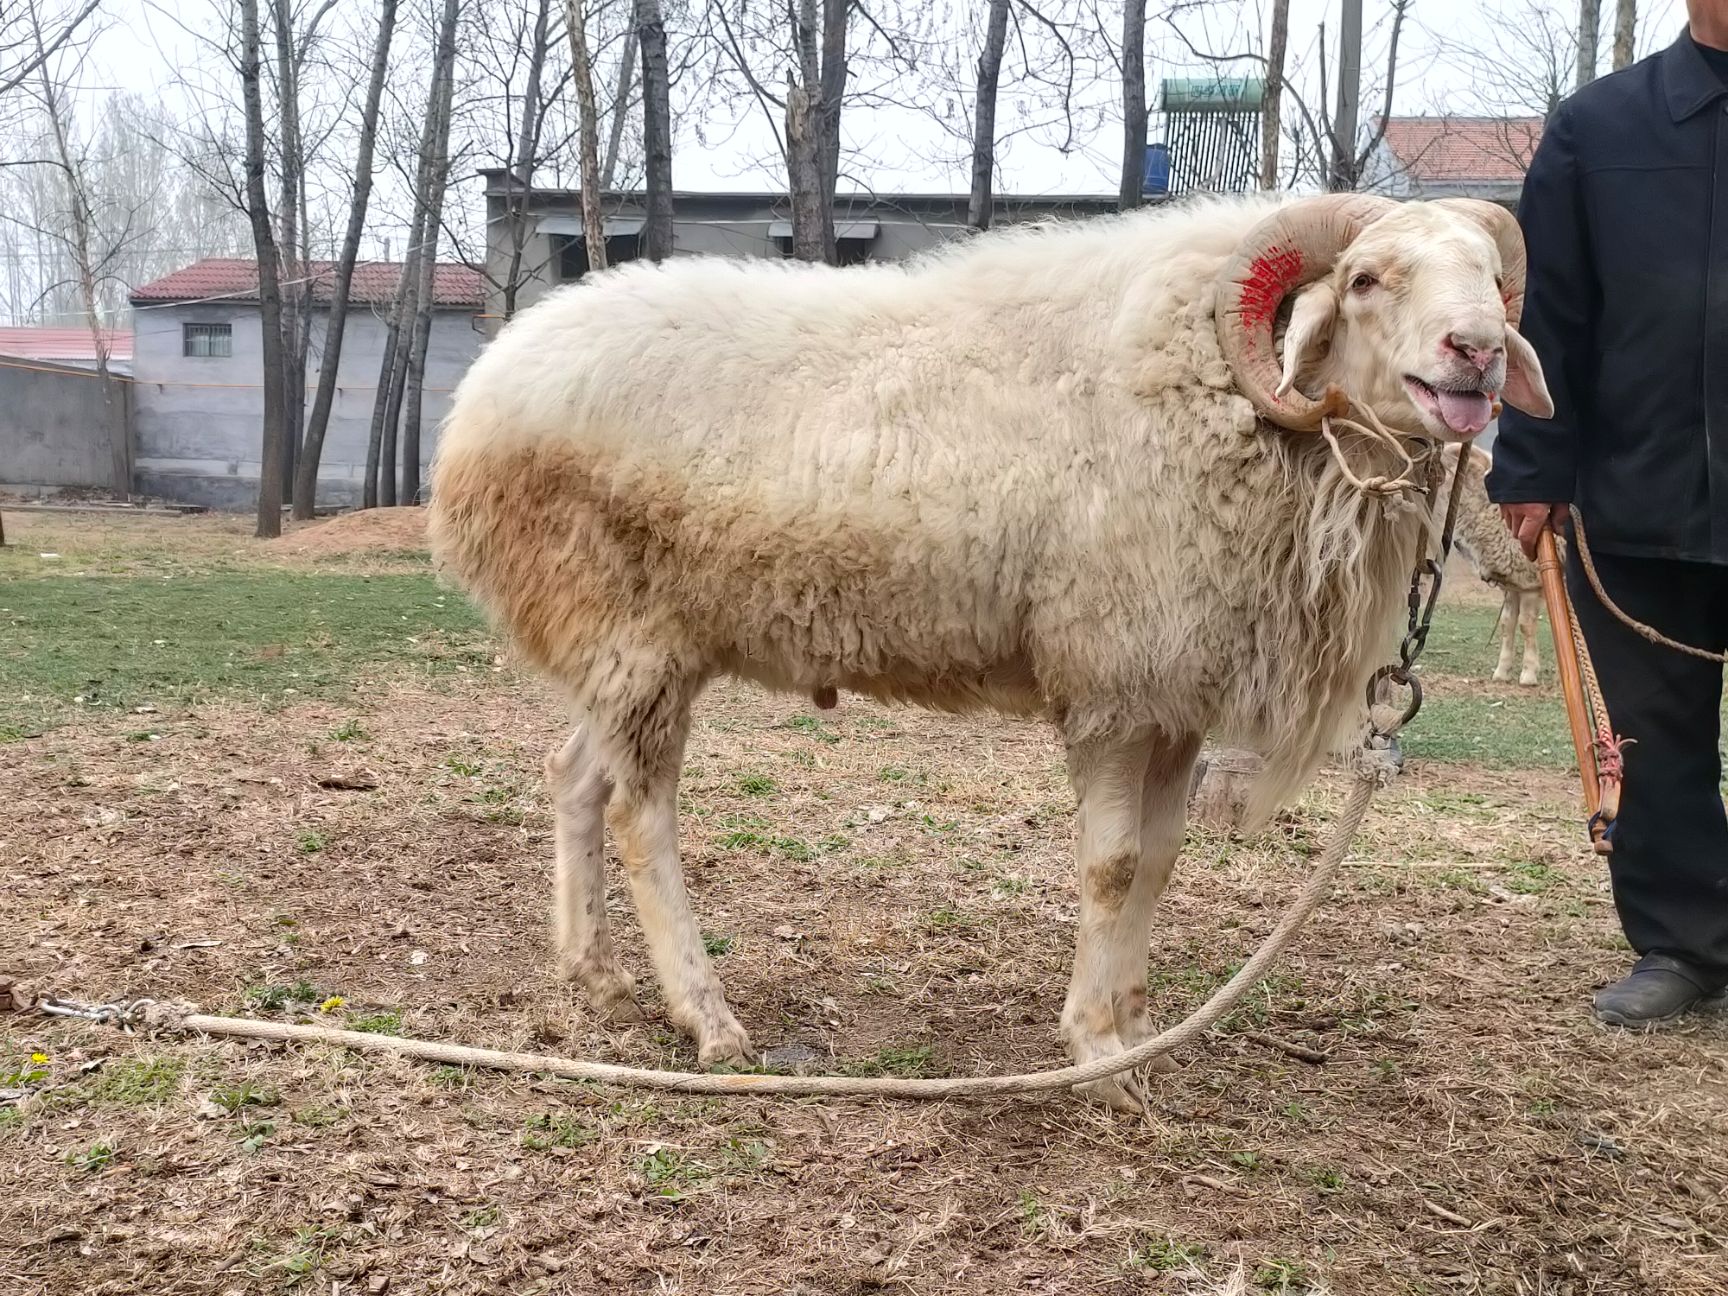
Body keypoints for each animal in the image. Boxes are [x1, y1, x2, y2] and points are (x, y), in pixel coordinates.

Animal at [1437, 445, 1548, 691]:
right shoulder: (1514, 583)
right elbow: (1507, 624)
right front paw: (1502, 671)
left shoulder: (1530, 582)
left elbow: (1526, 625)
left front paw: (1528, 674)